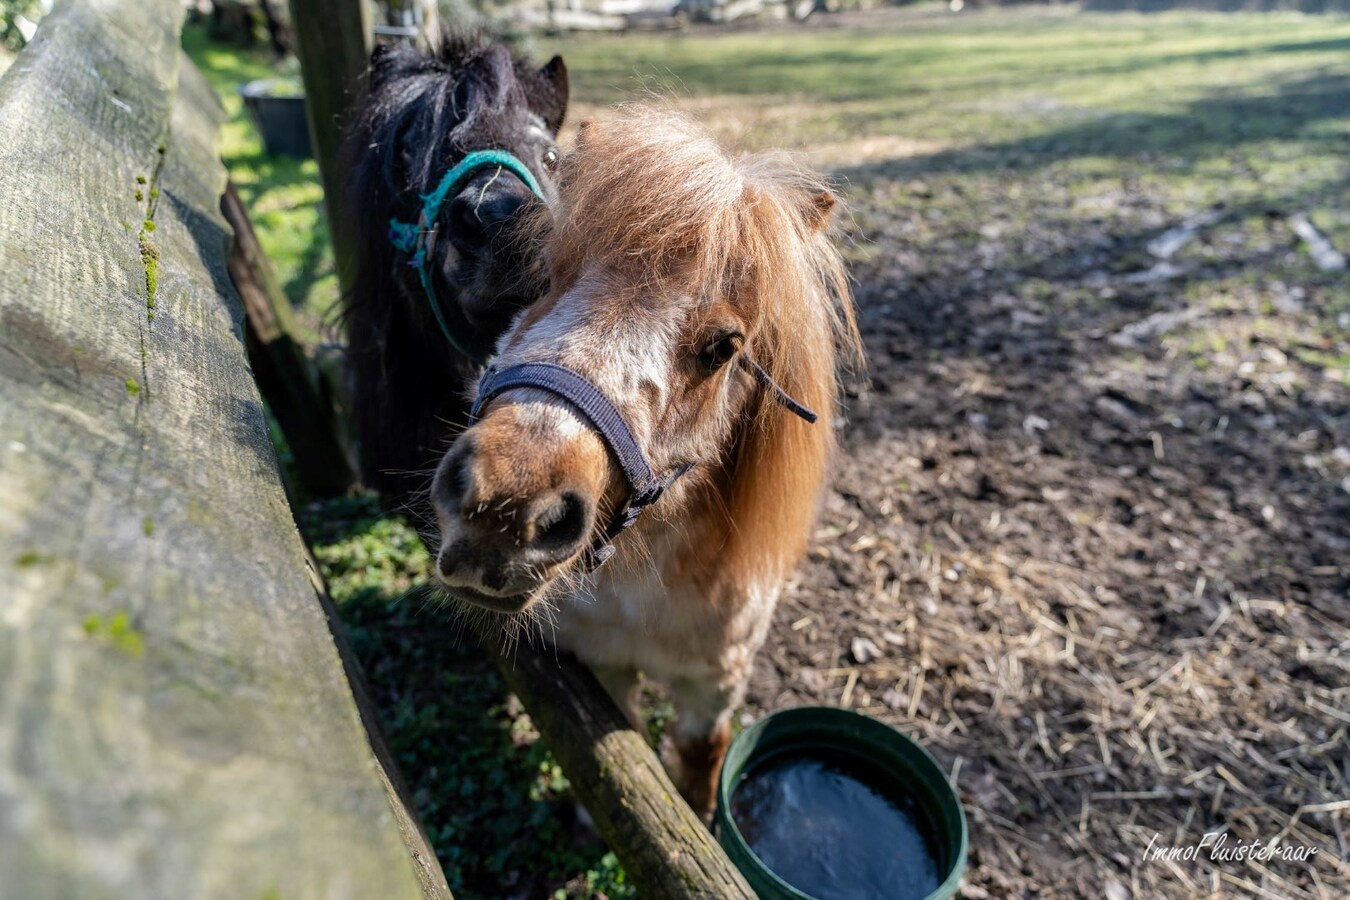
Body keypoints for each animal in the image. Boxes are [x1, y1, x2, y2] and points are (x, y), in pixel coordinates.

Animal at [426, 103, 858, 814]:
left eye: (724, 346)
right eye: (545, 278)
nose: (503, 506)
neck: (648, 585)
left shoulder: (714, 688)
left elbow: (698, 759)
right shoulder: (604, 663)